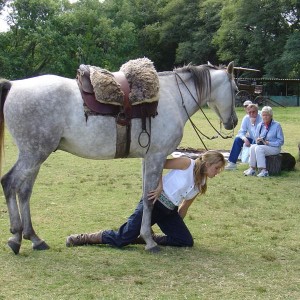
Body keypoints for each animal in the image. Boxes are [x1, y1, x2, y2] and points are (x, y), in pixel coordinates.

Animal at [0, 62, 239, 254]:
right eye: (236, 90)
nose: (234, 121)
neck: (172, 97)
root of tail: (14, 85)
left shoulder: (147, 158)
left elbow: (146, 196)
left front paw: (144, 236)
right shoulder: (156, 156)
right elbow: (150, 201)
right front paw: (149, 241)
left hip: (36, 156)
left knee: (24, 191)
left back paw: (34, 238)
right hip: (34, 154)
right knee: (10, 182)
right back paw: (16, 237)